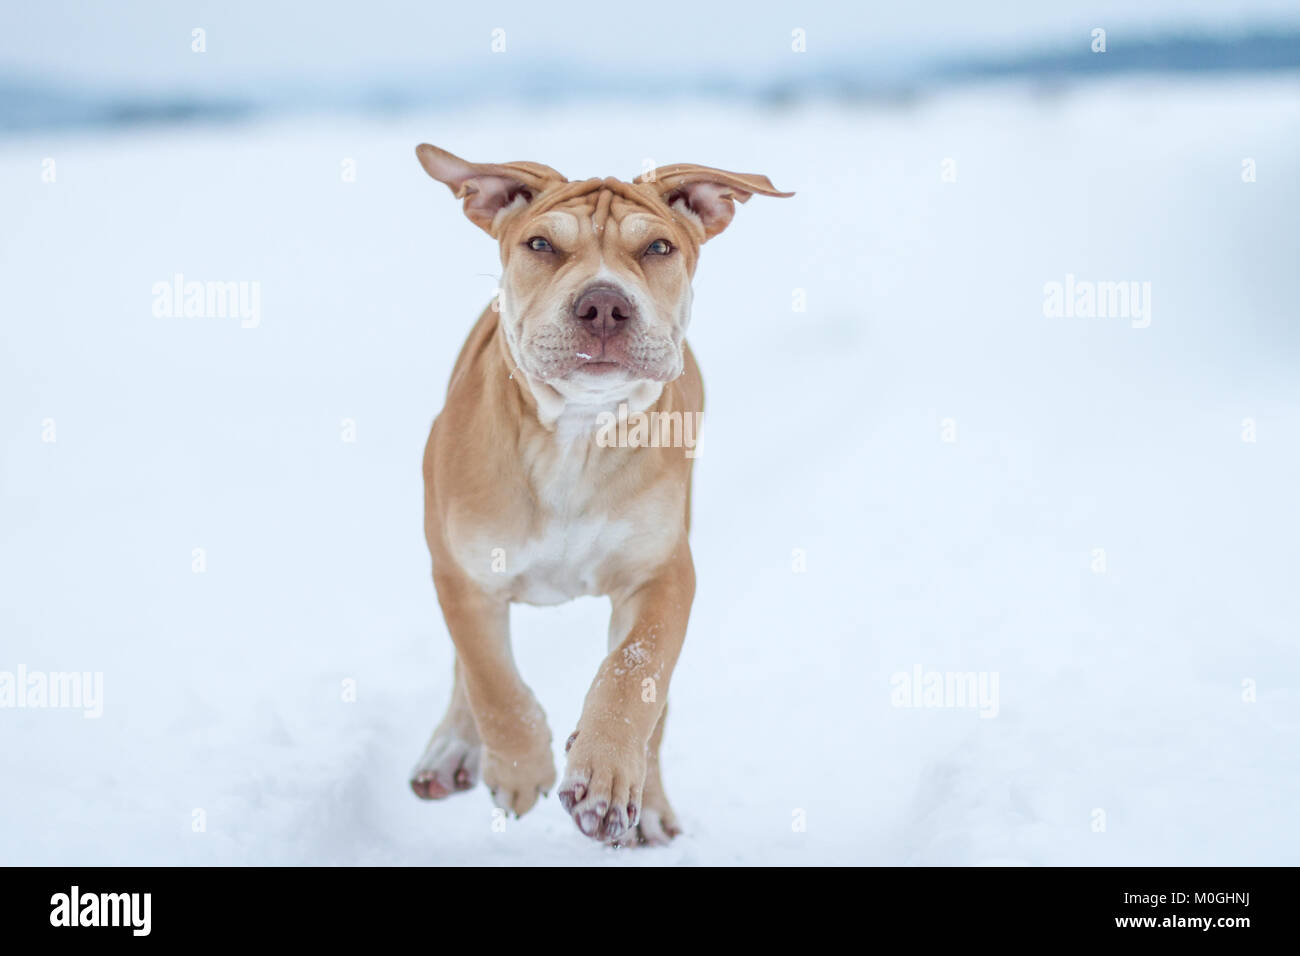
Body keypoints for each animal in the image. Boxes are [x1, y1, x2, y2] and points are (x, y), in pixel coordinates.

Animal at [405, 141, 790, 842]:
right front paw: (519, 763)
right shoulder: (462, 572)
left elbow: (634, 673)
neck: (575, 436)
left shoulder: (663, 573)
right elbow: (489, 676)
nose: (604, 304)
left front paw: (606, 774)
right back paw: (451, 747)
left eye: (659, 247)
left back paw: (648, 807)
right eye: (540, 244)